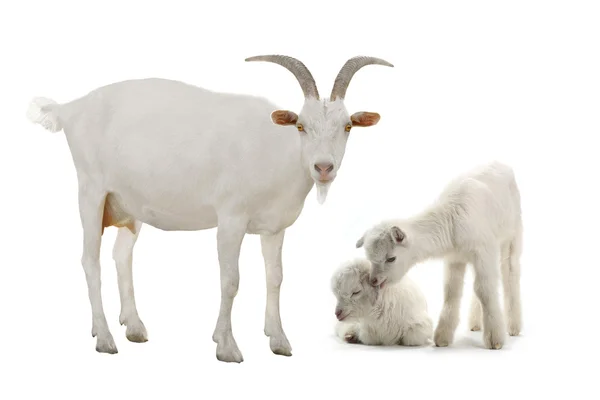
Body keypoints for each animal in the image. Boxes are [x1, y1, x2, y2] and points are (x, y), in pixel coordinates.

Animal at [27, 54, 394, 362]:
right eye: (301, 126)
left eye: (347, 126)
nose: (323, 167)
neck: (276, 150)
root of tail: (71, 108)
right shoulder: (230, 219)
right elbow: (230, 280)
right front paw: (227, 346)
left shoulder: (274, 227)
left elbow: (275, 277)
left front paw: (278, 340)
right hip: (92, 192)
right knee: (90, 262)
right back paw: (104, 338)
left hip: (128, 205)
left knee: (121, 256)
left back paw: (133, 327)